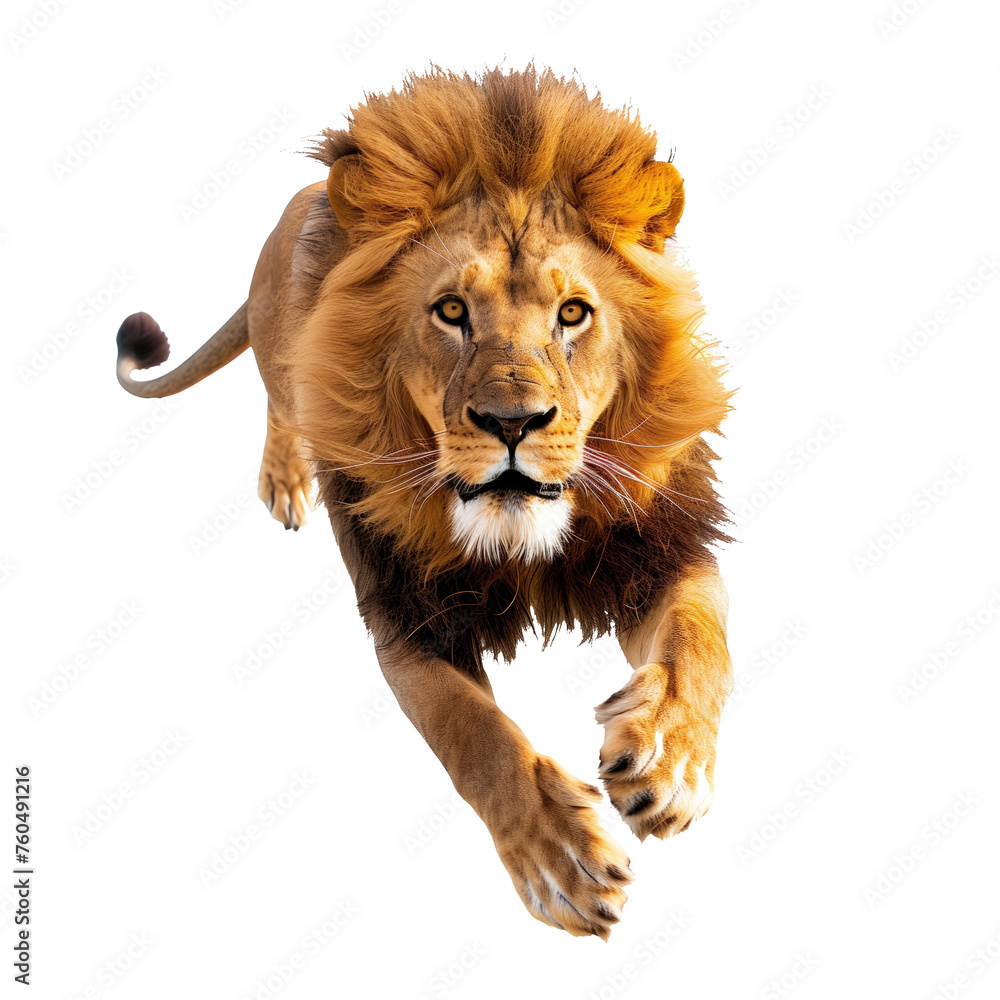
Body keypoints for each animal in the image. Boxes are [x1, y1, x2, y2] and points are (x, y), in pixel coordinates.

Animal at [114, 66, 734, 940]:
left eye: (573, 314)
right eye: (451, 311)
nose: (513, 422)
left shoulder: (654, 546)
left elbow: (699, 643)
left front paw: (668, 760)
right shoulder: (404, 611)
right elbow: (474, 732)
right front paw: (562, 857)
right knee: (283, 400)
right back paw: (286, 477)